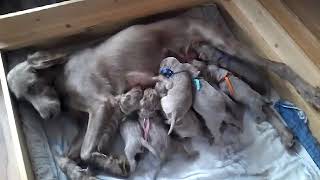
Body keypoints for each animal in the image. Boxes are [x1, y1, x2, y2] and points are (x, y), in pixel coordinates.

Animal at [6, 7, 318, 176]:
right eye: (22, 100)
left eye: (34, 86)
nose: (48, 116)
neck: (60, 81)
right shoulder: (99, 116)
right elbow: (66, 156)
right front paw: (90, 168)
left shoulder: (102, 104)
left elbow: (84, 151)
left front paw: (103, 163)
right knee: (262, 103)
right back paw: (286, 133)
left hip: (226, 43)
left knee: (278, 67)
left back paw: (309, 93)